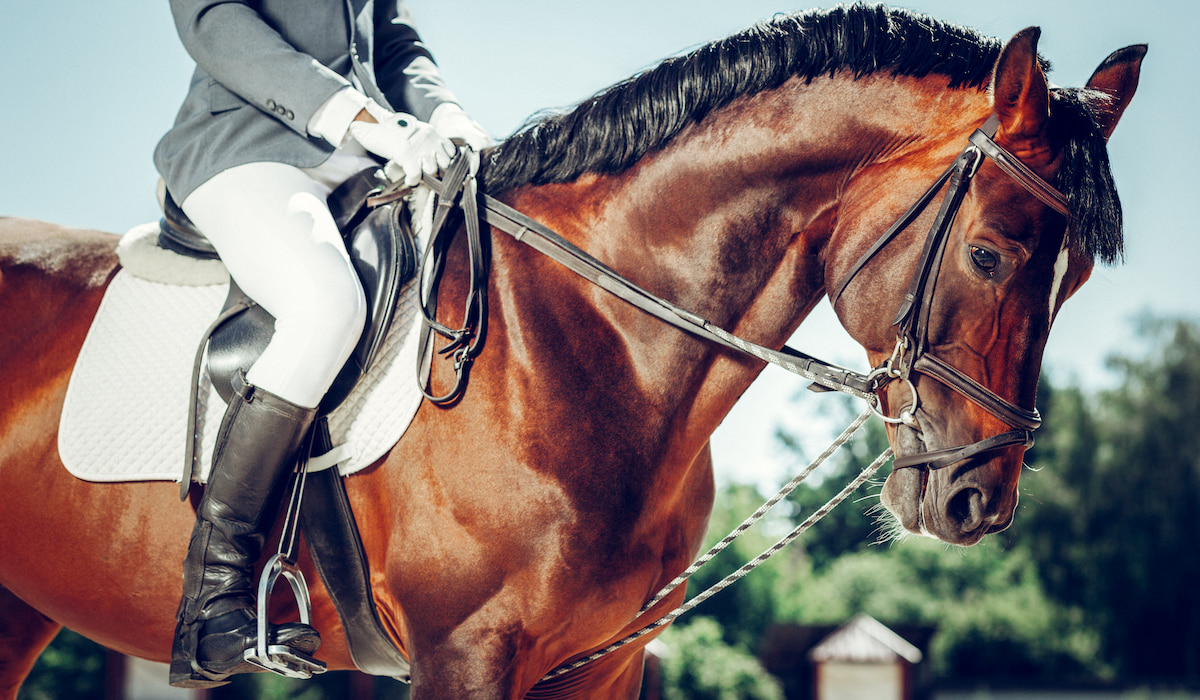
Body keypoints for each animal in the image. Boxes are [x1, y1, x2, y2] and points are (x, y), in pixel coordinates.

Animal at [0, 6, 1142, 699]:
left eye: (1078, 278)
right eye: (991, 253)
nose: (974, 499)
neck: (590, 342)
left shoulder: (602, 661)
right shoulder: (465, 656)